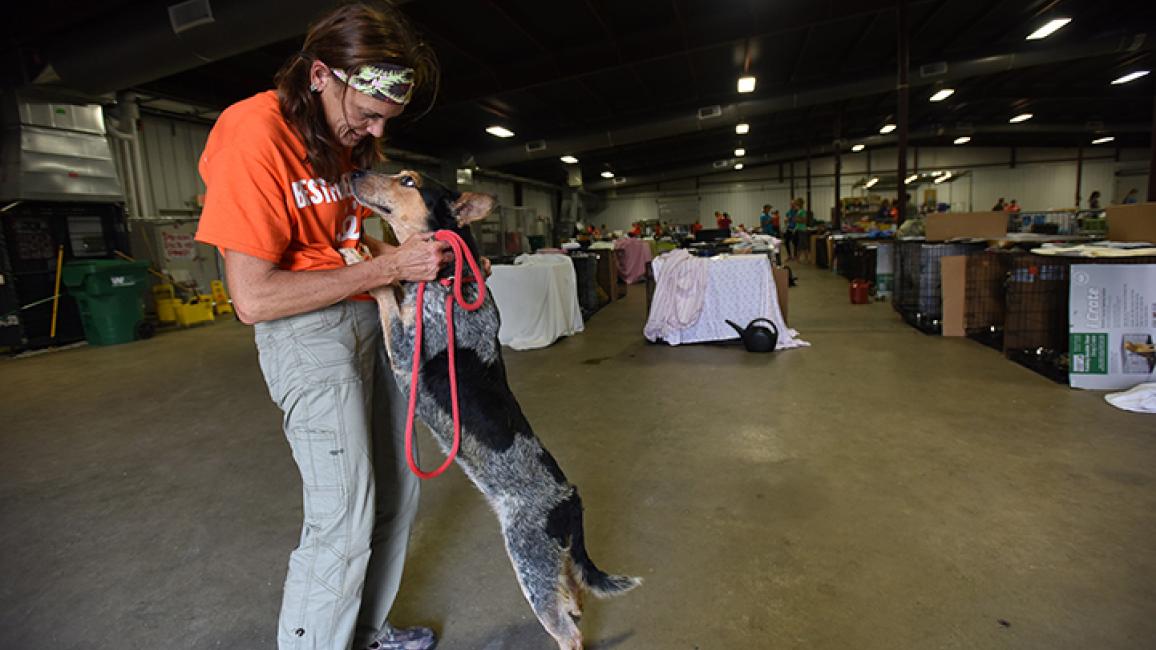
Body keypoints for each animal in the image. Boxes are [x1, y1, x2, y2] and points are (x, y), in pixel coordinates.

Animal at [342, 167, 642, 647]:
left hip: (529, 562)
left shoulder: (405, 351)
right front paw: (367, 250)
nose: (352, 171)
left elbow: (386, 295)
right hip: (553, 565)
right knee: (575, 596)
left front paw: (356, 259)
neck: (450, 277)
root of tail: (570, 500)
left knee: (568, 630)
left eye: (407, 179)